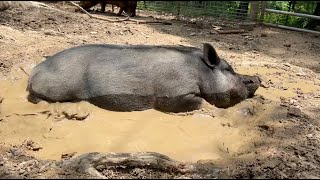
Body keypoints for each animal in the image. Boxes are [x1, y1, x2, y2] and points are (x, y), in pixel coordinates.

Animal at [26, 43, 260, 112]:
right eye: (229, 69)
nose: (257, 78)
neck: (198, 71)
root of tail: (34, 72)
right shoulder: (173, 94)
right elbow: (200, 102)